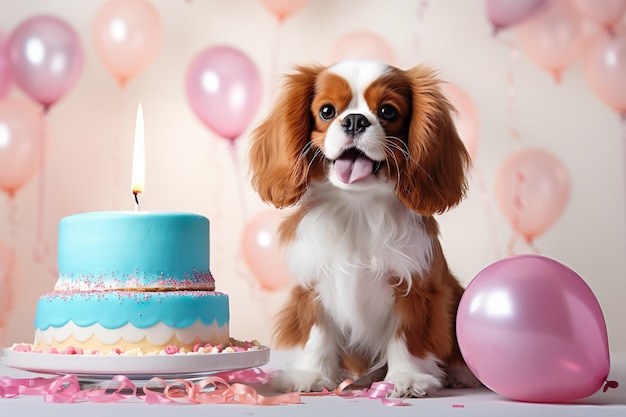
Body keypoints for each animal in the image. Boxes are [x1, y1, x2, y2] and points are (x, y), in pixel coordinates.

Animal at [247, 59, 478, 396]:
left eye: (388, 112)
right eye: (327, 111)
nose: (355, 121)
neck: (358, 207)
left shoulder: (416, 287)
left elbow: (408, 335)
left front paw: (406, 378)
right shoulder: (313, 283)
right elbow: (316, 331)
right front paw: (311, 374)